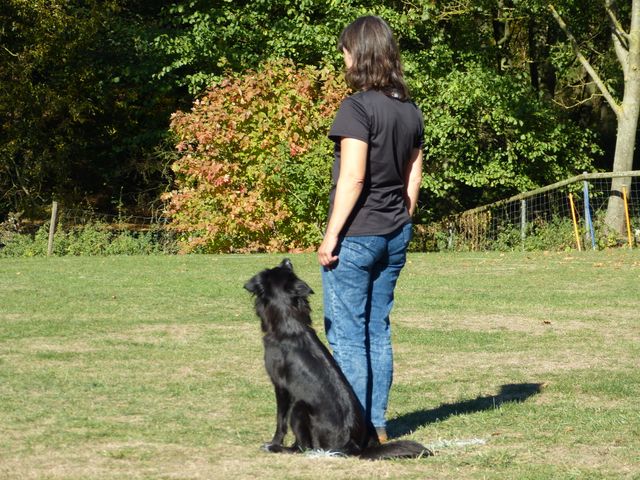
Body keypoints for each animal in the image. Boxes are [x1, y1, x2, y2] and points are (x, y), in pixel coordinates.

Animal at [244, 258, 431, 460]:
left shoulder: (281, 387)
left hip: (298, 406)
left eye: (275, 269)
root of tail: (354, 446)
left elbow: (280, 421)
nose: (287, 259)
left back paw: (277, 449)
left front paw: (274, 442)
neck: (289, 323)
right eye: (286, 269)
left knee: (303, 447)